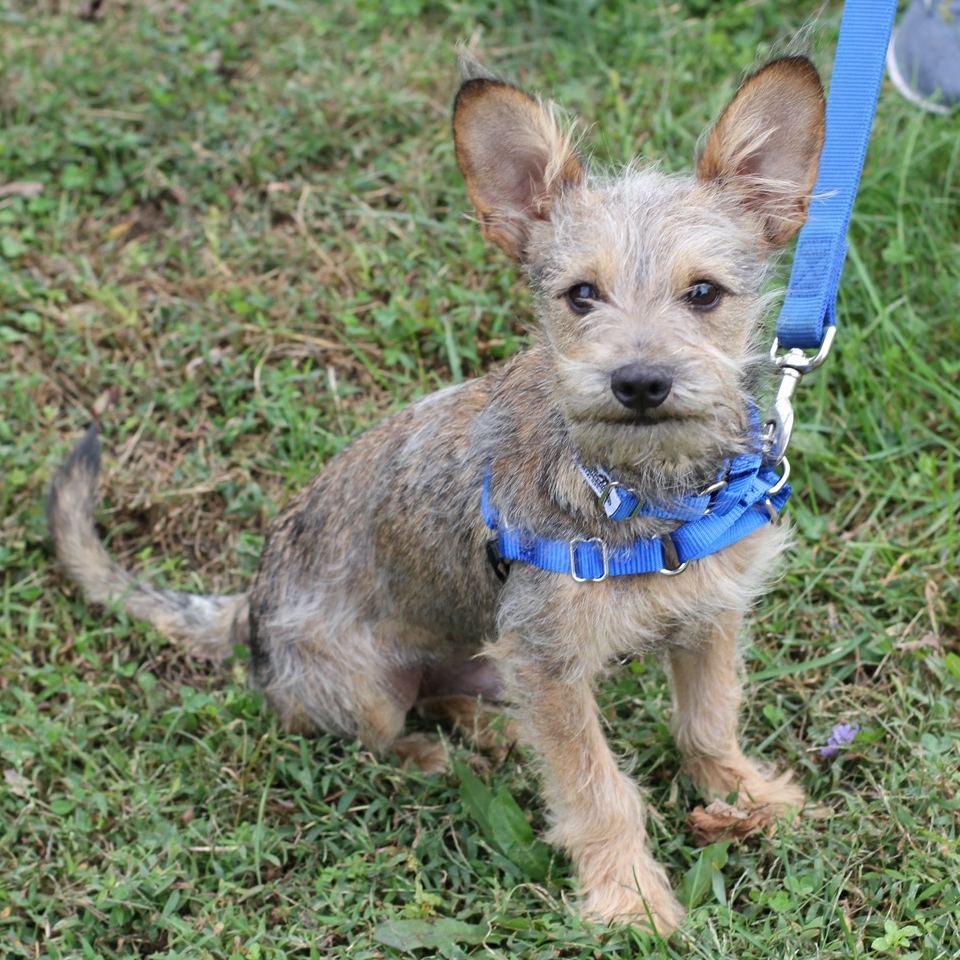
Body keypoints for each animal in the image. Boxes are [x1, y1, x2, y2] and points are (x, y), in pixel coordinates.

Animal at [48, 54, 824, 936]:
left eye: (704, 294)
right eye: (581, 295)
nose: (639, 382)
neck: (644, 491)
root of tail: (248, 607)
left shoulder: (708, 617)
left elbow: (708, 719)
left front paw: (744, 794)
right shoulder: (547, 664)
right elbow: (595, 788)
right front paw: (629, 895)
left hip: (485, 653)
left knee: (453, 692)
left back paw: (491, 732)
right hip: (374, 690)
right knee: (384, 730)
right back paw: (435, 756)